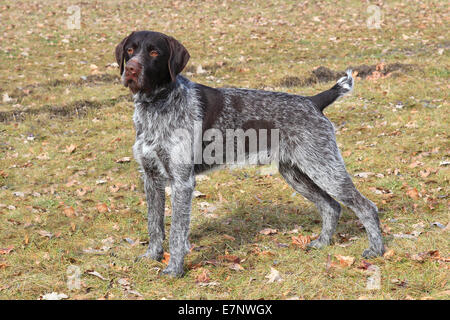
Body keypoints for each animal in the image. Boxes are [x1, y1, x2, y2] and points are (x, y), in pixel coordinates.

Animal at [114, 30, 384, 278]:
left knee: (366, 207)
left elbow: (176, 233)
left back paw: (376, 250)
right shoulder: (151, 178)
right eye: (130, 50)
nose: (131, 70)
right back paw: (322, 243)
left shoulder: (182, 182)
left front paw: (174, 269)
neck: (156, 104)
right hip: (296, 173)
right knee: (331, 207)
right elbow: (155, 224)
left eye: (154, 52)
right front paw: (152, 256)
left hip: (324, 168)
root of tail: (313, 101)